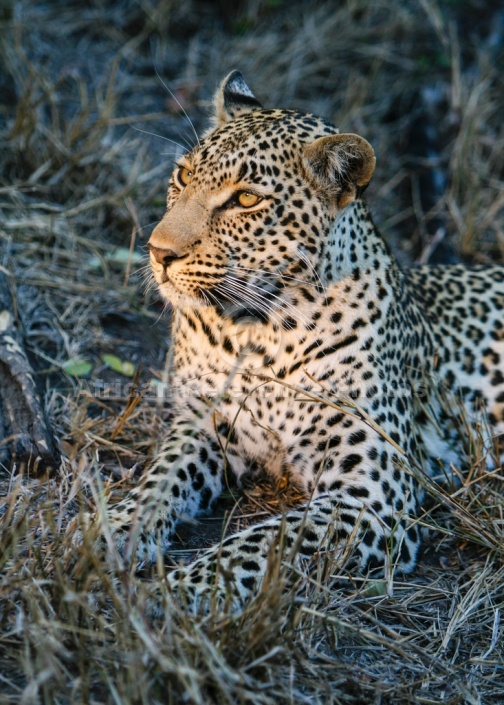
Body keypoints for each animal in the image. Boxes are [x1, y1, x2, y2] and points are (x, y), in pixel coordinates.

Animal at [80, 70, 502, 612]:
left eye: (245, 199)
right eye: (182, 176)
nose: (158, 252)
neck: (252, 332)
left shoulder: (371, 494)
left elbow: (256, 544)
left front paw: (177, 593)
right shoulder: (201, 425)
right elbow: (158, 480)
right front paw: (110, 530)